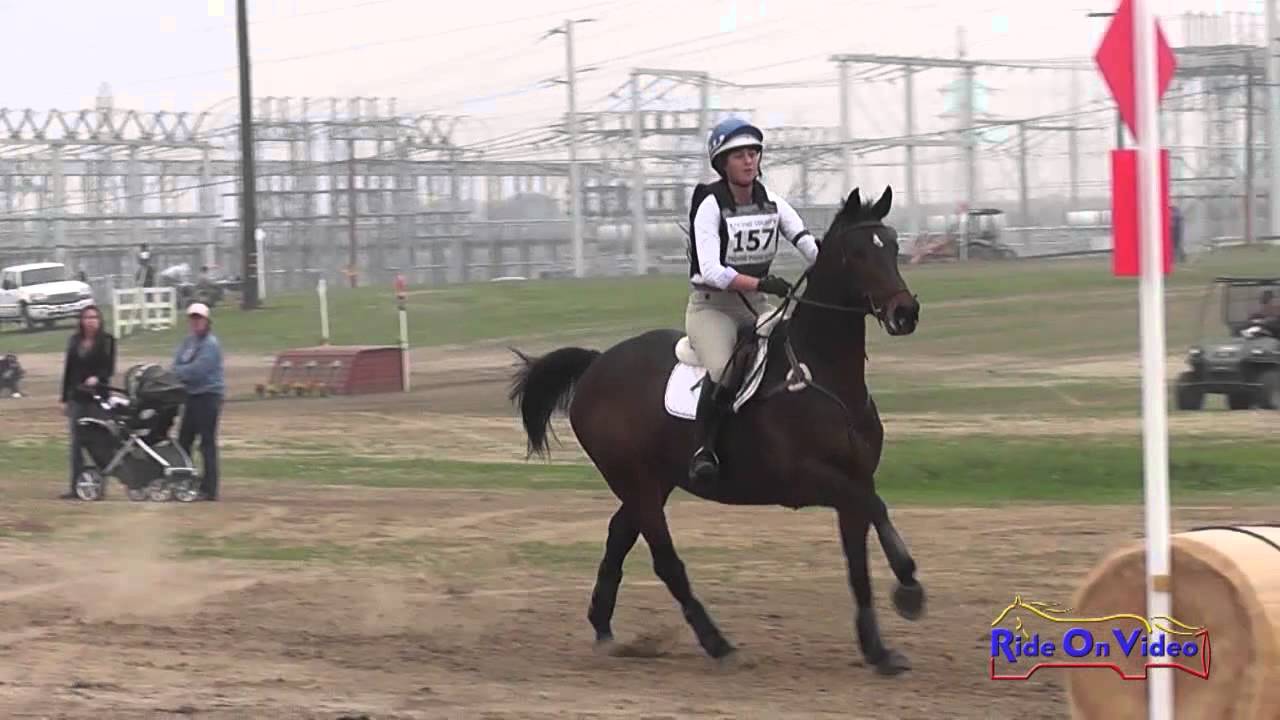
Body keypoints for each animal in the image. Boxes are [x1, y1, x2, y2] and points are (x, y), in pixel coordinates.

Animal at [509, 184, 931, 671]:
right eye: (859, 253)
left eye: (894, 246)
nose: (905, 313)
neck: (825, 378)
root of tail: (597, 364)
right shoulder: (809, 479)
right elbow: (876, 508)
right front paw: (909, 588)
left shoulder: (853, 480)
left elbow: (859, 561)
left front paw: (877, 649)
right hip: (636, 481)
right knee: (664, 560)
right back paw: (715, 642)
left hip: (653, 481)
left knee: (619, 535)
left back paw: (603, 626)